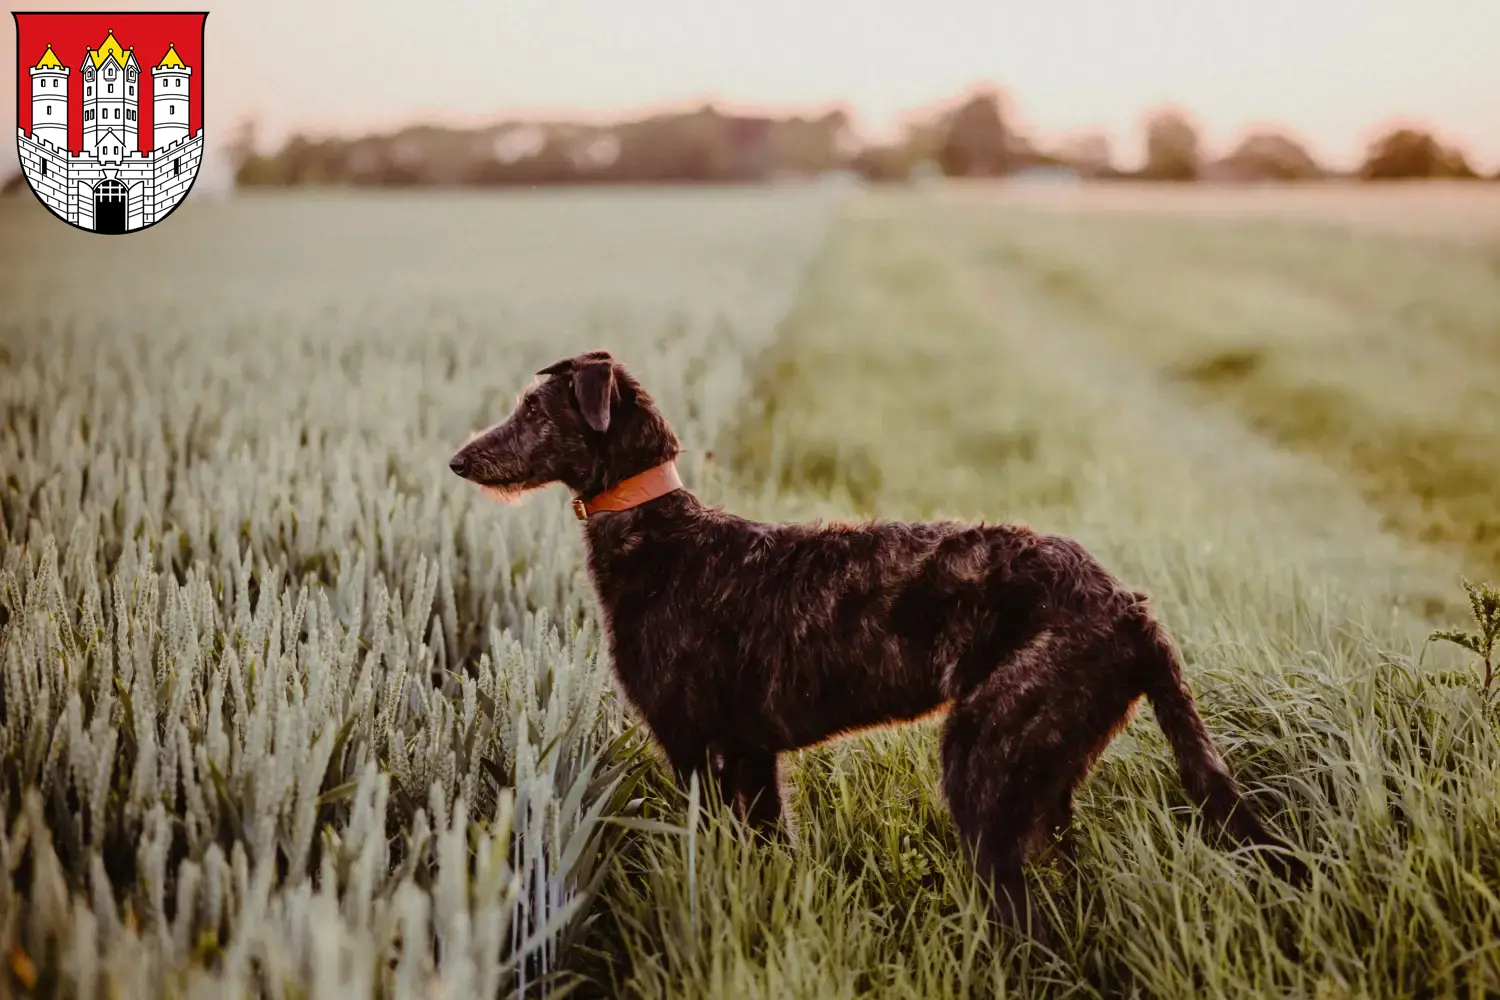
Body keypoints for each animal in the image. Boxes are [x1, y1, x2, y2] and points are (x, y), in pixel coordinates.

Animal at [444, 347, 1302, 935]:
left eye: (535, 410)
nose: (456, 458)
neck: (665, 537)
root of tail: (1131, 608)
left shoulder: (696, 749)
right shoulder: (752, 758)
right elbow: (769, 852)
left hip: (985, 762)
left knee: (1021, 917)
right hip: (1047, 777)